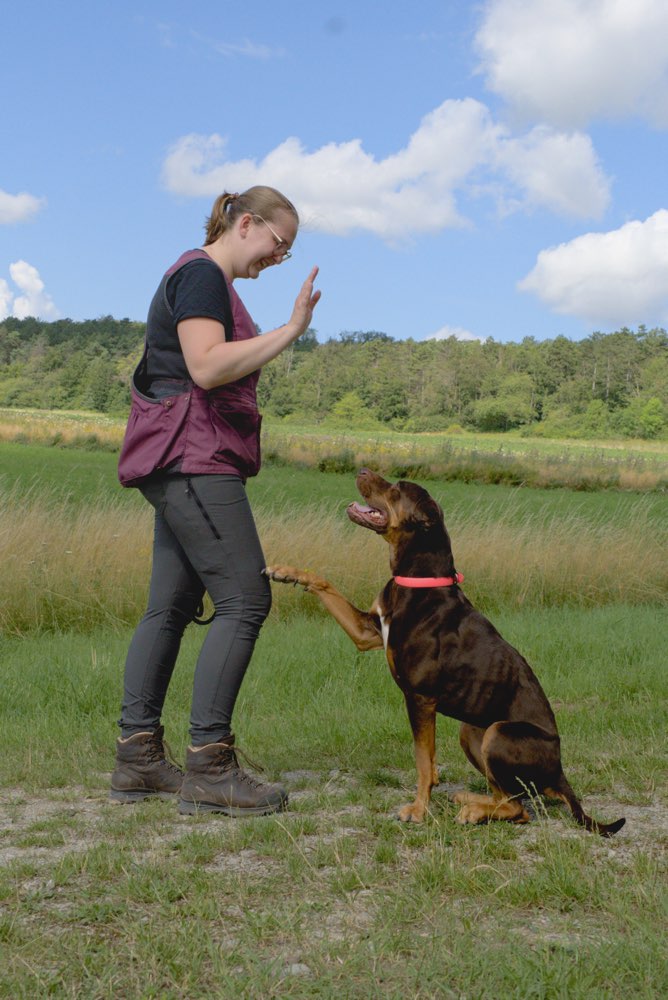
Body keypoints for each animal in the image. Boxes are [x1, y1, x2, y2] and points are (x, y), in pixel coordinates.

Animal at [265, 469, 625, 837]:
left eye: (397, 489)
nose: (362, 470)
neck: (418, 580)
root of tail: (560, 772)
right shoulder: (367, 632)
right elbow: (324, 583)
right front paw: (285, 572)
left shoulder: (420, 698)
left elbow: (424, 761)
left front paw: (418, 810)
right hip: (473, 730)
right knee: (509, 797)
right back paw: (471, 800)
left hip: (498, 732)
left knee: (519, 807)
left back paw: (473, 811)